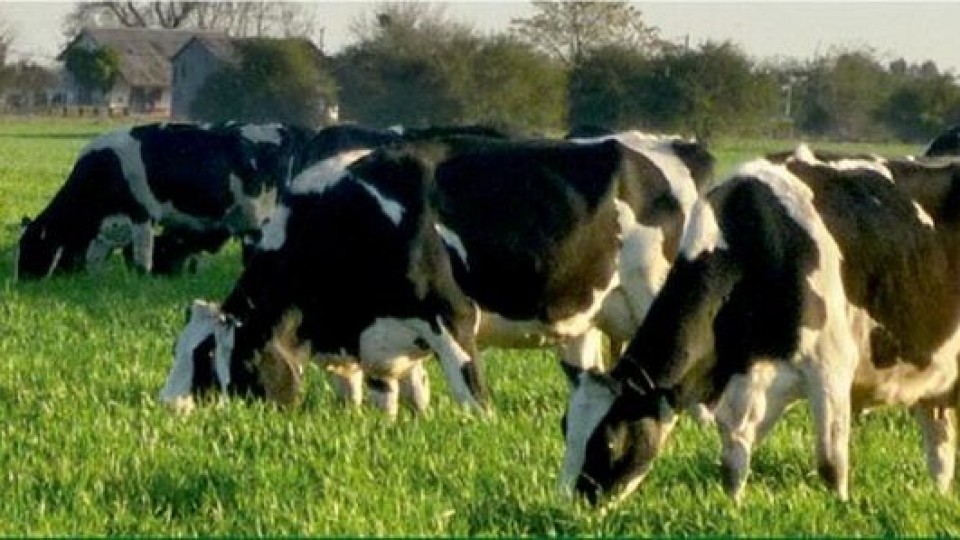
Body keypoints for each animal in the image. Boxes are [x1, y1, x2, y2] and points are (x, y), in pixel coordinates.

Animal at [15, 121, 310, 278]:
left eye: (31, 246)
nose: (22, 281)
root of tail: (283, 128)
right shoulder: (110, 226)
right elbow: (97, 257)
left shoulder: (142, 214)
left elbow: (141, 258)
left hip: (262, 219)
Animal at [159, 133, 712, 416]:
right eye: (177, 350)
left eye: (206, 356)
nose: (166, 407)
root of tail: (677, 145)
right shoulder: (382, 338)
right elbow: (391, 402)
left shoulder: (453, 318)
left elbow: (473, 400)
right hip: (589, 318)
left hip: (657, 297)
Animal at [560, 144, 960, 506]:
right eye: (565, 427)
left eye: (609, 441)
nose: (568, 509)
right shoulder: (746, 377)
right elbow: (733, 459)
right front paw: (733, 509)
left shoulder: (829, 368)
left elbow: (831, 466)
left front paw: (842, 510)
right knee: (941, 451)